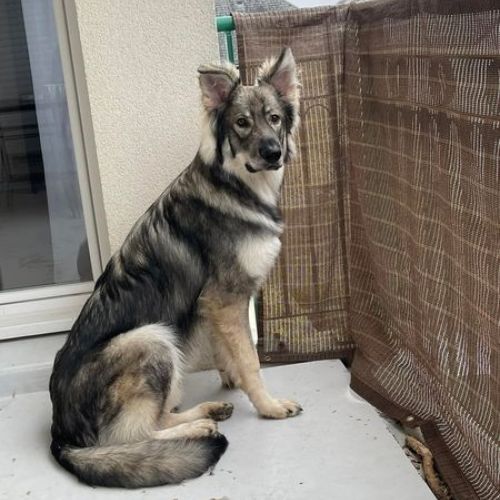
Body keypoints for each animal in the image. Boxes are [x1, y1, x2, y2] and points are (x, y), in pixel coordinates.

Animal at [49, 47, 301, 488]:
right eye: (241, 123)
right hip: (150, 338)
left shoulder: (214, 305)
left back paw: (206, 412)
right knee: (135, 434)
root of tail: (59, 434)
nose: (272, 152)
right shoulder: (225, 299)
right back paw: (198, 428)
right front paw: (268, 406)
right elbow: (252, 362)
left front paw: (230, 379)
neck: (234, 185)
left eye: (274, 118)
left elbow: (231, 353)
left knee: (159, 416)